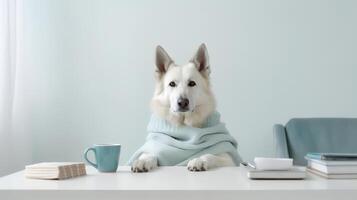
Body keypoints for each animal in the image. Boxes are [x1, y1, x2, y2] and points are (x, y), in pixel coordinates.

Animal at [130, 43, 236, 172]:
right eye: (172, 84)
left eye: (192, 83)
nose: (183, 102)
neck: (185, 125)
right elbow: (149, 154)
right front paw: (143, 161)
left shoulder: (228, 160)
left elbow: (209, 155)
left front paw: (198, 160)